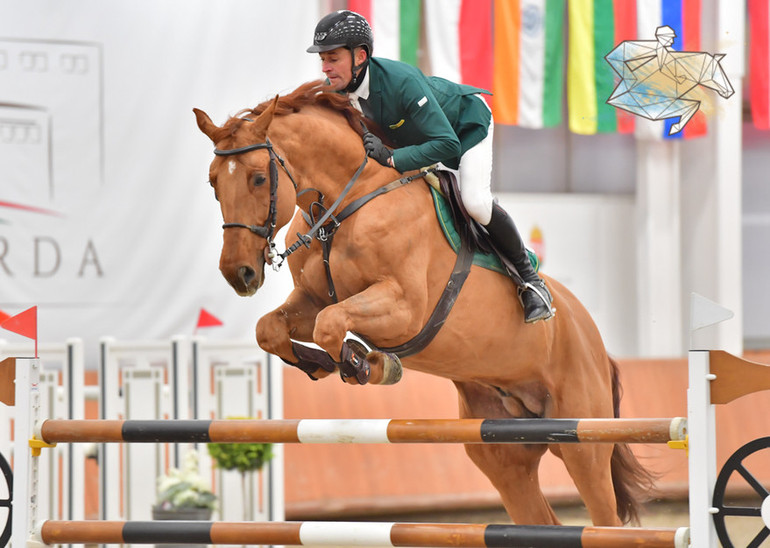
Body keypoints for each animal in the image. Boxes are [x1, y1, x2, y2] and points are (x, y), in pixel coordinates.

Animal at [195, 81, 652, 528]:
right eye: (213, 182)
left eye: (258, 178)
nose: (239, 274)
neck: (344, 204)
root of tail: (594, 340)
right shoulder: (310, 301)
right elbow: (272, 329)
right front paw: (321, 364)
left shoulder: (404, 309)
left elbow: (332, 323)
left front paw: (368, 364)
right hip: (501, 449)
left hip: (581, 440)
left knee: (604, 514)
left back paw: (534, 294)